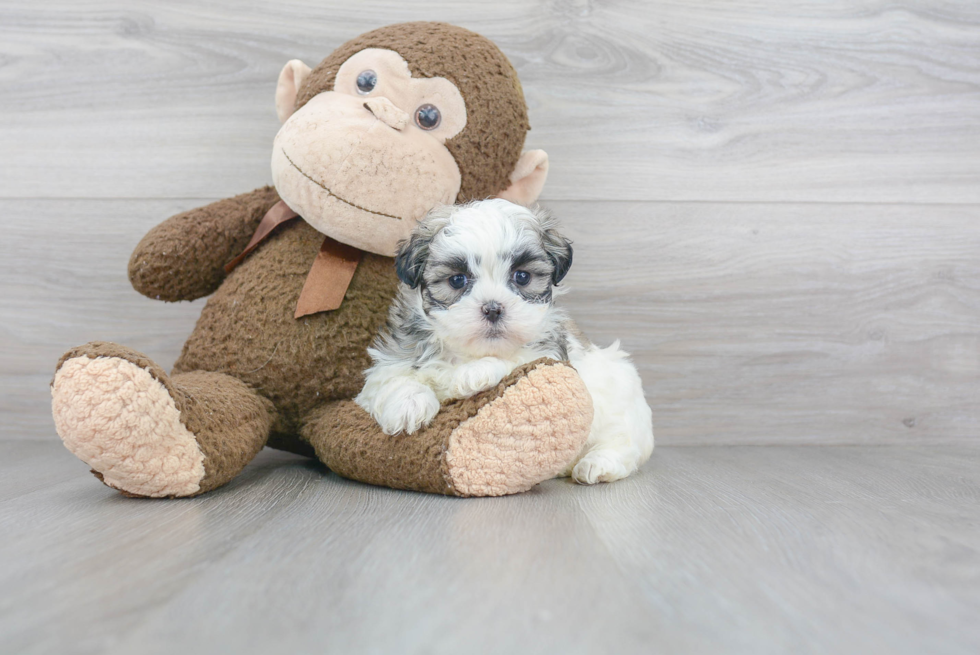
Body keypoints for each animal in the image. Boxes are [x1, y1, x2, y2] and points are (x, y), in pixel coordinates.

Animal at [356, 197, 656, 484]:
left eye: (522, 276)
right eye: (457, 280)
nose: (492, 308)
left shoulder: (550, 356)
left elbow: (515, 360)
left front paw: (475, 372)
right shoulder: (394, 358)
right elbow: (393, 378)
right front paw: (409, 406)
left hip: (623, 399)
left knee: (623, 441)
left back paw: (598, 464)